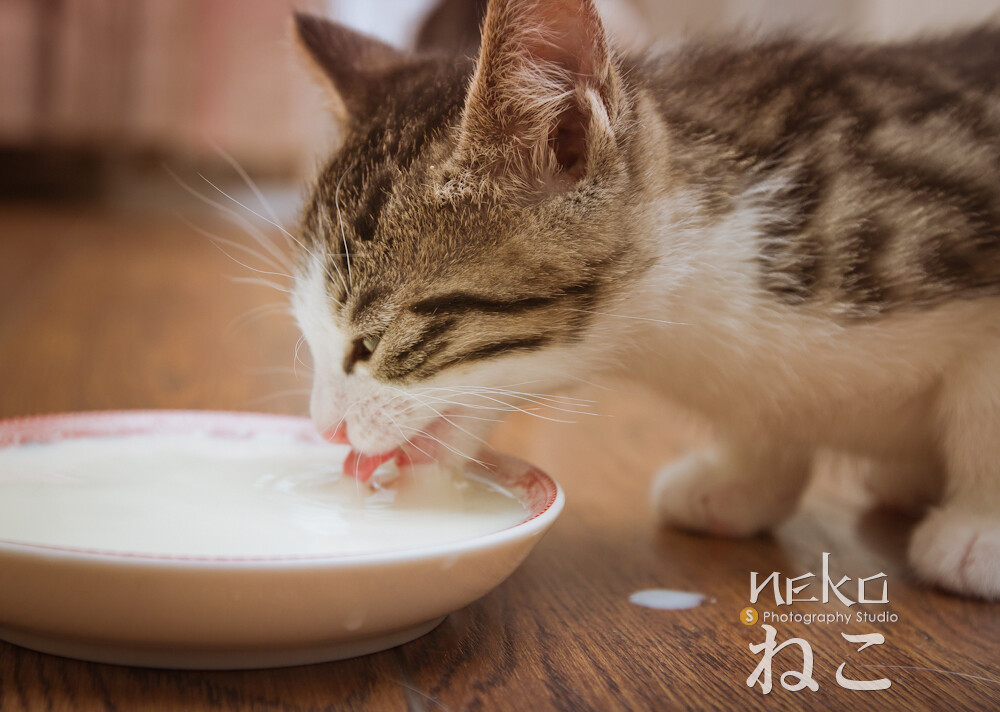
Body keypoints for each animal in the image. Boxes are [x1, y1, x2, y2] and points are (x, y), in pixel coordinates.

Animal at [292, 0, 1000, 600]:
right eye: (309, 333)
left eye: (372, 343)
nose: (324, 427)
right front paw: (745, 478)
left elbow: (982, 403)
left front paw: (978, 529)